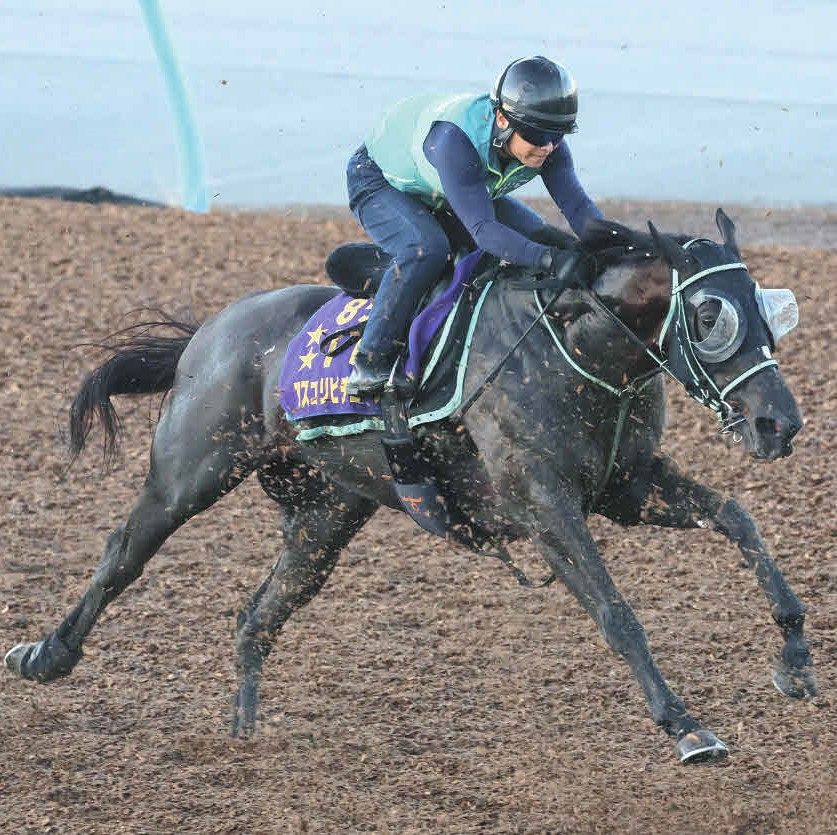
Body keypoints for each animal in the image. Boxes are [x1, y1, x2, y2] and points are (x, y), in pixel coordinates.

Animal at [5, 209, 816, 764]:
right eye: (711, 316)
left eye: (768, 310)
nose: (778, 422)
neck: (579, 343)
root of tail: (211, 329)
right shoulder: (545, 507)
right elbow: (616, 613)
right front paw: (685, 725)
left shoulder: (628, 488)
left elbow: (738, 519)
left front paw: (795, 659)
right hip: (190, 472)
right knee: (122, 554)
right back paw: (46, 655)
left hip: (326, 517)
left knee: (259, 612)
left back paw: (243, 731)